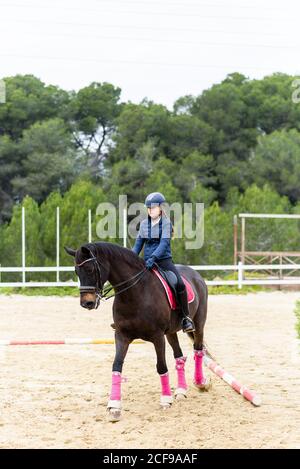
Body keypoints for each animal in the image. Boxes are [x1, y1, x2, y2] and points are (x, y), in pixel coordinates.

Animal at [65, 241, 211, 420]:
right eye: (76, 272)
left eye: (90, 269)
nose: (87, 303)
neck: (134, 293)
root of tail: (196, 274)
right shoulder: (121, 335)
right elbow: (117, 365)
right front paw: (114, 405)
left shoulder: (157, 337)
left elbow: (161, 367)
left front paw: (165, 400)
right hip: (171, 332)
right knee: (179, 356)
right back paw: (181, 391)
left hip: (199, 323)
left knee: (198, 349)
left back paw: (201, 383)